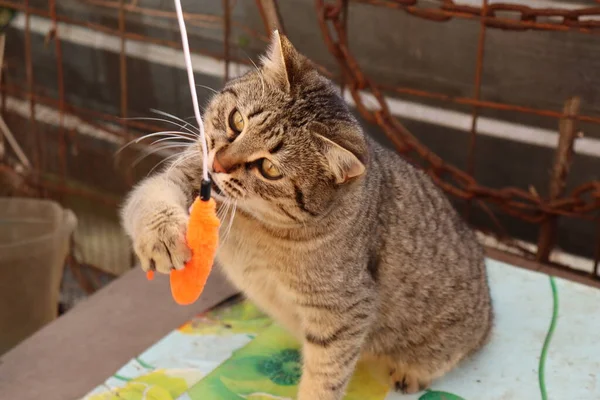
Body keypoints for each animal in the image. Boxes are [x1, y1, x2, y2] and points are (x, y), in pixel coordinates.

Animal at [120, 32, 492, 400]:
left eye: (269, 168)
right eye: (237, 121)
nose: (219, 164)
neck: (255, 223)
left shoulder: (343, 312)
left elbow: (325, 378)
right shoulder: (184, 176)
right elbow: (151, 197)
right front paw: (161, 239)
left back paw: (411, 372)